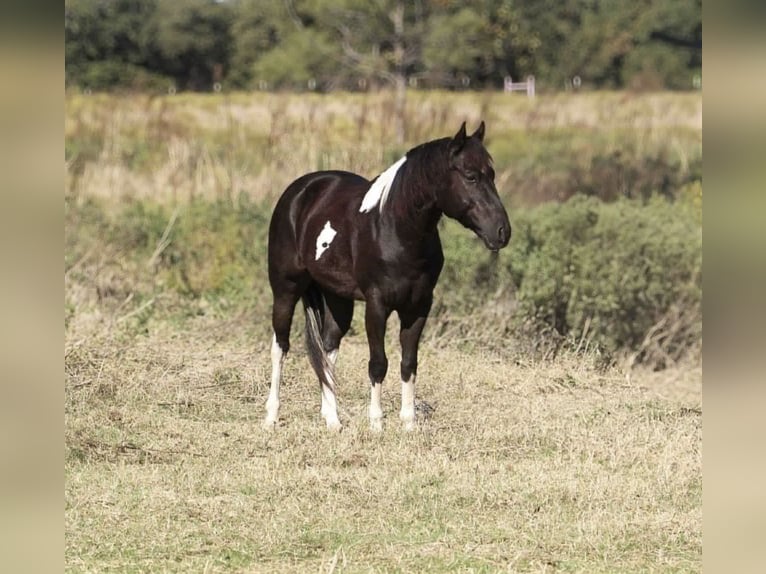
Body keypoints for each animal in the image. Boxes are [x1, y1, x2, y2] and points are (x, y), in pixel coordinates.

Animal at [264, 121, 511, 431]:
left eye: (492, 174)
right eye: (470, 176)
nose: (502, 232)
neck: (396, 230)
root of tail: (300, 191)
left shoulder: (418, 307)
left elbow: (409, 363)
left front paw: (409, 424)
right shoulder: (377, 305)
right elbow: (378, 363)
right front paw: (377, 424)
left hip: (337, 297)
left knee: (328, 347)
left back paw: (333, 420)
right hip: (285, 288)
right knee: (280, 346)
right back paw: (271, 417)